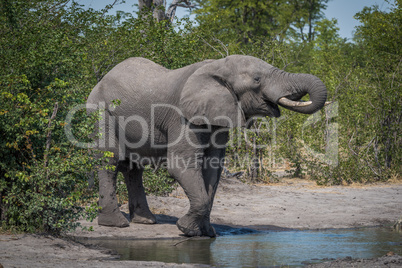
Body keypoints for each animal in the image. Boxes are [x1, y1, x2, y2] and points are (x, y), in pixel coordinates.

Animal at [87, 54, 326, 237]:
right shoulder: (183, 117)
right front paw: (186, 230)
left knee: (133, 167)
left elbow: (212, 169)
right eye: (257, 79)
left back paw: (146, 221)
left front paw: (207, 233)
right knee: (110, 159)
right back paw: (116, 224)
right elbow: (181, 165)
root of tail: (101, 79)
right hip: (100, 110)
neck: (218, 66)